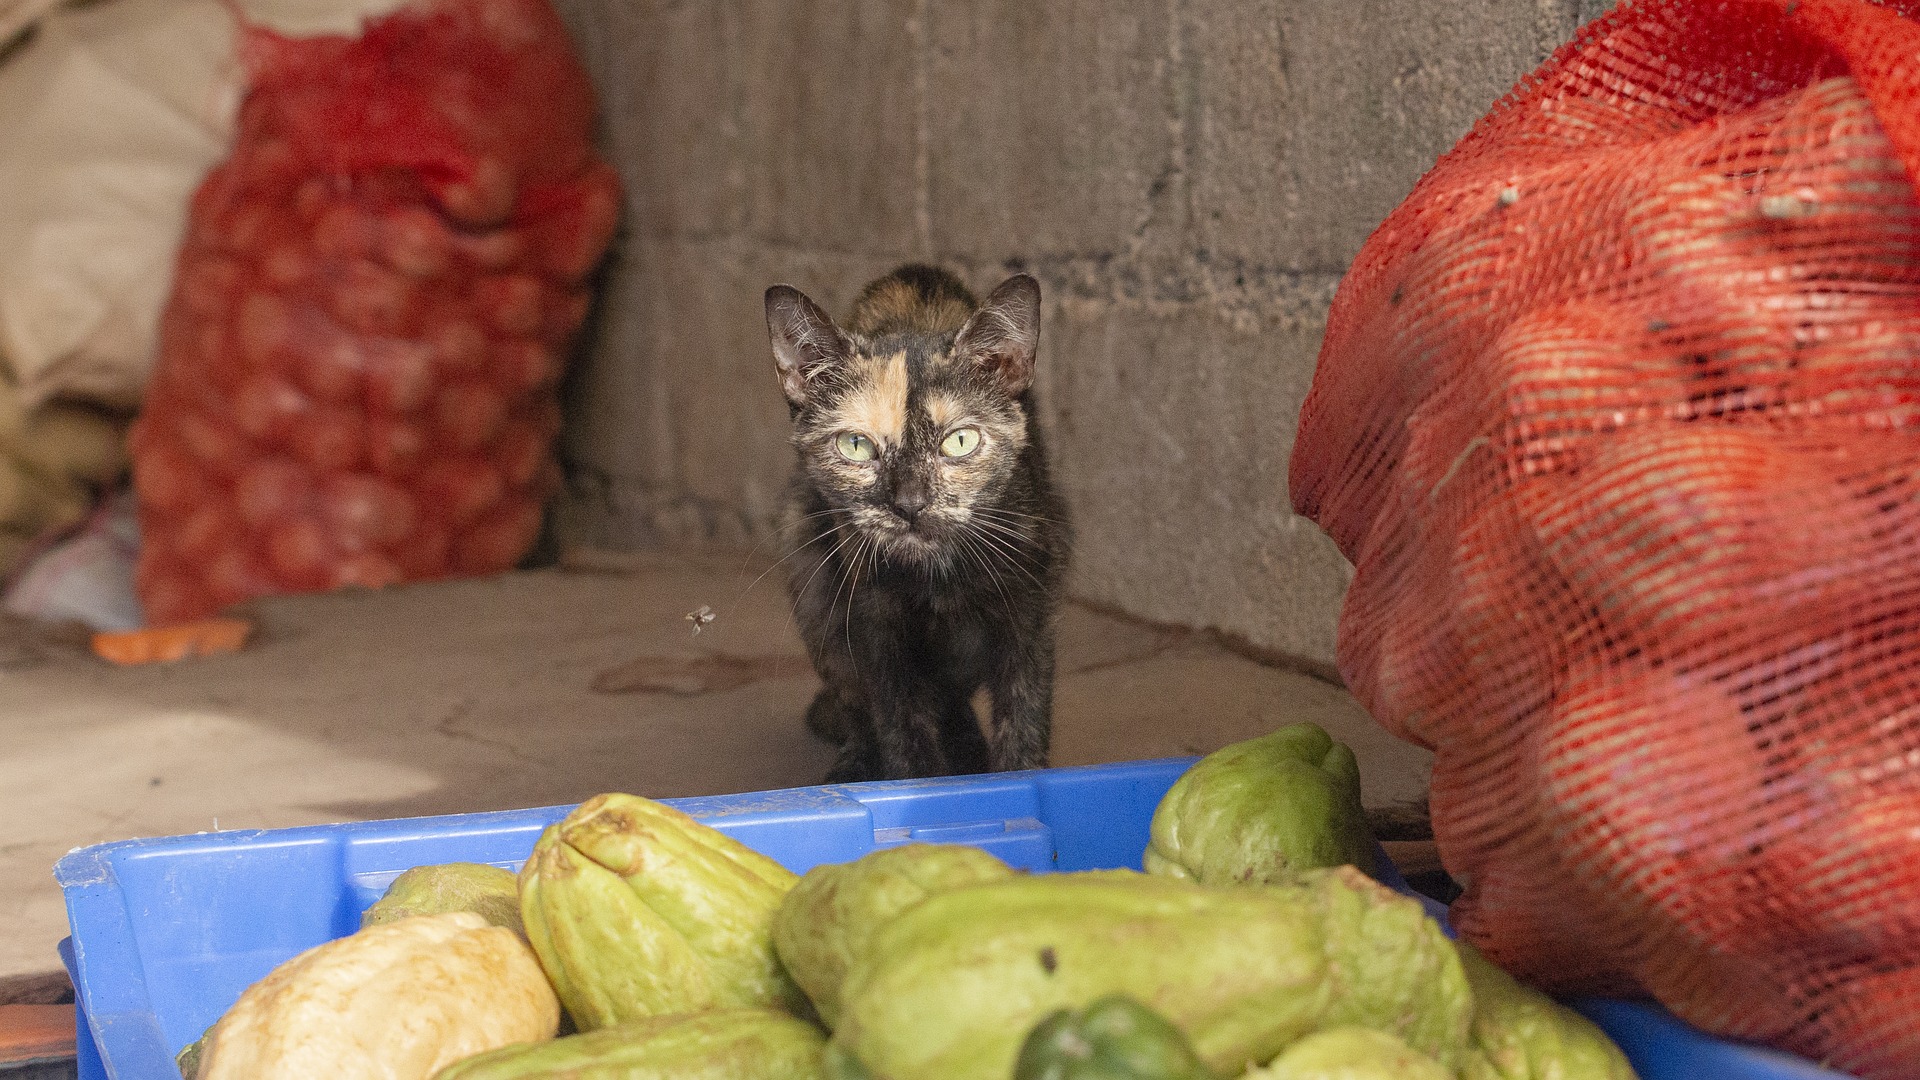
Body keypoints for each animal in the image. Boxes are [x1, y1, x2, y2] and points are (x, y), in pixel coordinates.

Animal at [760, 265, 1067, 776]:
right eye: (856, 446)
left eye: (960, 441)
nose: (909, 503)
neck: (937, 579)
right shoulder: (876, 626)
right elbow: (901, 728)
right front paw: (917, 783)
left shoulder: (1030, 612)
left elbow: (1023, 721)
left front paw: (1017, 776)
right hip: (808, 568)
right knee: (857, 703)